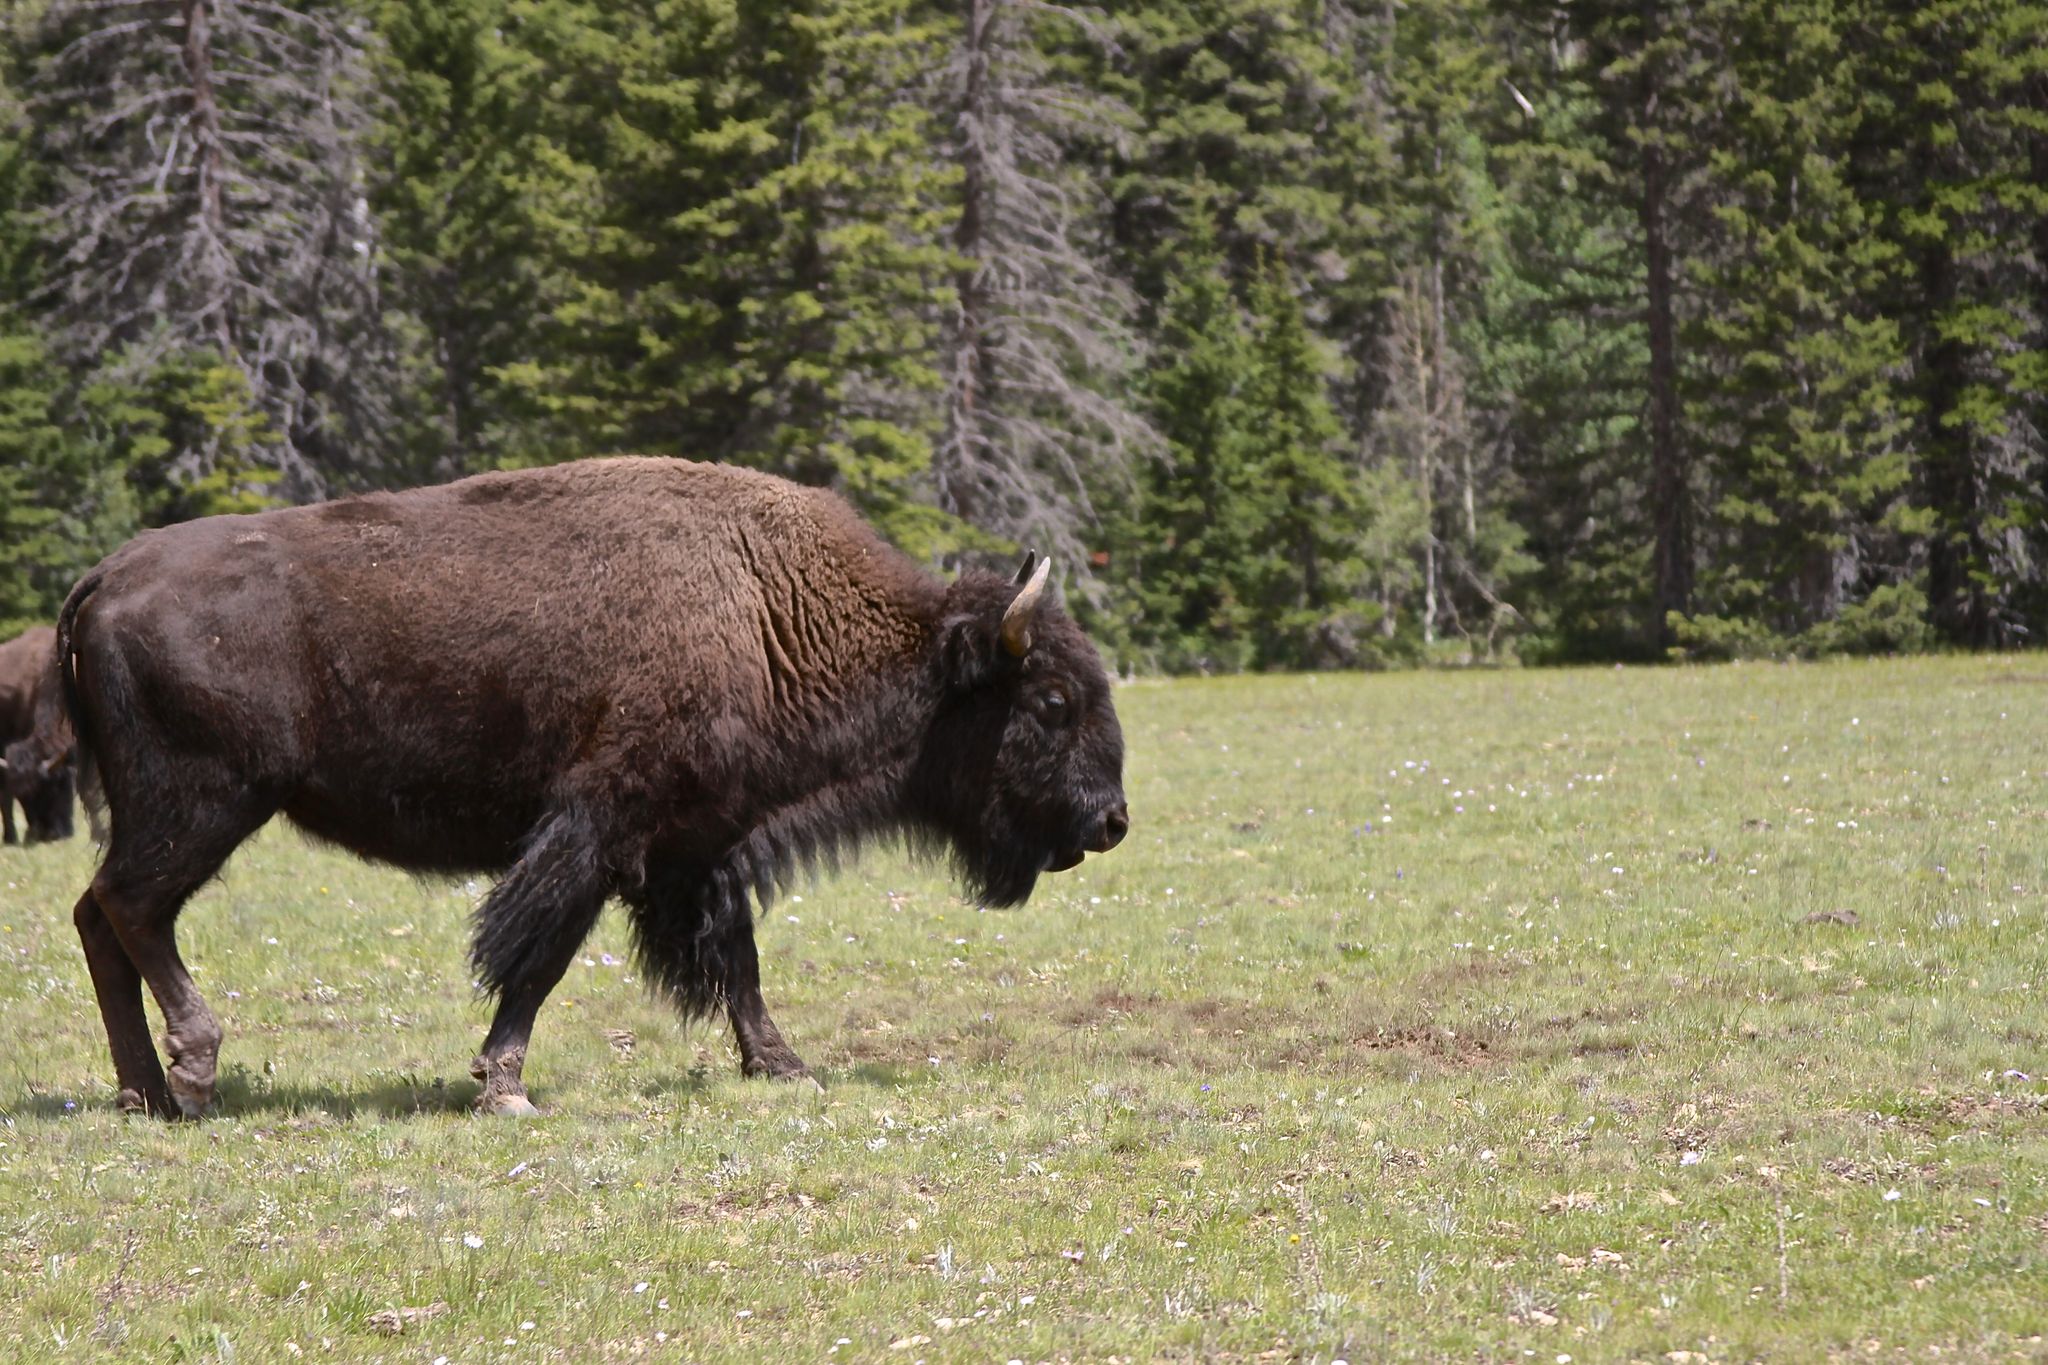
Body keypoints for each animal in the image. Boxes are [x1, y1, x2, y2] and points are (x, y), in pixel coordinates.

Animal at [58, 457, 1128, 1117]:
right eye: (1053, 699)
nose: (1112, 820)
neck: (767, 607)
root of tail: (105, 575)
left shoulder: (697, 847)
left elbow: (736, 961)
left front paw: (784, 1067)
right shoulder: (602, 831)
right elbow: (537, 957)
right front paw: (504, 1086)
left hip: (169, 811)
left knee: (99, 916)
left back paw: (146, 1094)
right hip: (205, 803)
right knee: (132, 907)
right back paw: (196, 1067)